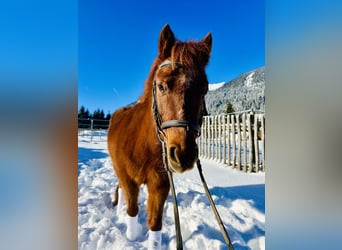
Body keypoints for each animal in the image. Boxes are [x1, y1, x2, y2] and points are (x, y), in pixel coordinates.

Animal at [108, 24, 212, 247]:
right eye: (162, 86)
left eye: (204, 89)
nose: (183, 154)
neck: (142, 145)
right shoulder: (129, 179)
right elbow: (132, 210)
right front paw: (131, 237)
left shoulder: (161, 184)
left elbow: (155, 223)